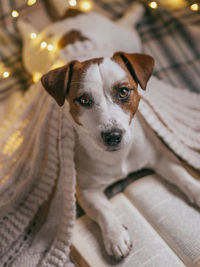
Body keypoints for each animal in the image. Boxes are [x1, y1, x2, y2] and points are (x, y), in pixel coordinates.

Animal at [19, 2, 200, 262]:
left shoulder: (161, 157)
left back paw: (136, 11)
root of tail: (70, 15)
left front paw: (196, 189)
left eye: (124, 92)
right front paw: (115, 236)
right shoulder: (86, 191)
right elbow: (104, 210)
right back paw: (22, 24)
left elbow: (182, 175)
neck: (118, 157)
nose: (113, 136)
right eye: (84, 100)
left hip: (127, 38)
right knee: (29, 40)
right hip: (34, 54)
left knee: (127, 24)